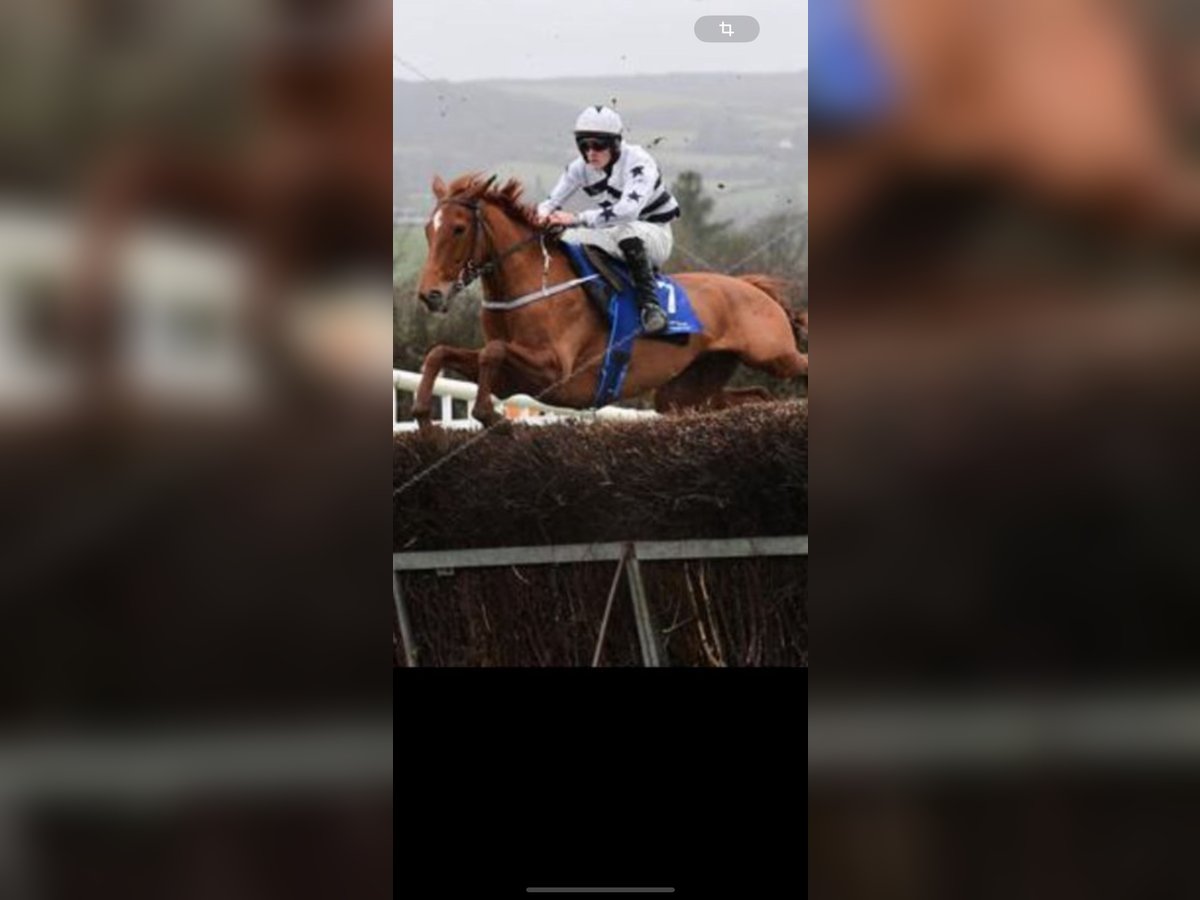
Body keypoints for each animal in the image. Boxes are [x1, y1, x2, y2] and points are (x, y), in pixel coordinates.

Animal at [412, 174, 808, 429]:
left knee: (798, 367)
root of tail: (753, 288)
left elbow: (492, 351)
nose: (430, 294)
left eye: (458, 228)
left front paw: (490, 416)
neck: (533, 285)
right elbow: (441, 353)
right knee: (755, 396)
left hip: (775, 355)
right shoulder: (512, 380)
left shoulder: (555, 371)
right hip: (687, 389)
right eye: (428, 229)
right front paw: (424, 417)